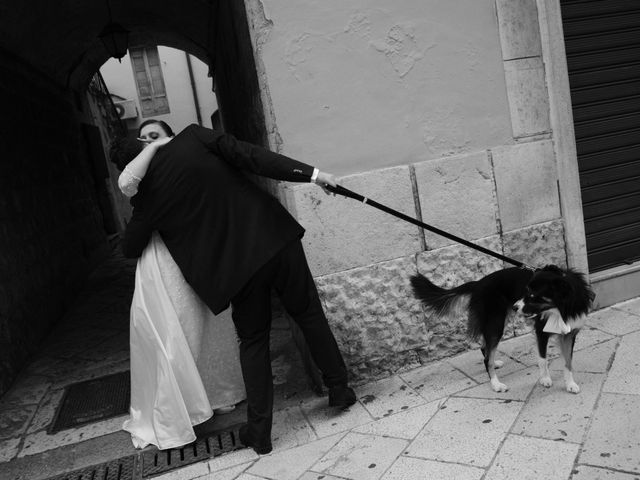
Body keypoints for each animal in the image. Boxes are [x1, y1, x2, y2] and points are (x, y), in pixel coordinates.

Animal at [410, 266, 596, 394]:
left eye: (534, 296)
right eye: (526, 291)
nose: (515, 306)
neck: (561, 308)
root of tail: (478, 284)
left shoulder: (570, 334)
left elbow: (568, 361)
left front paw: (570, 384)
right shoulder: (541, 332)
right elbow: (543, 360)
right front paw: (545, 379)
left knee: (485, 347)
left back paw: (495, 364)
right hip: (496, 323)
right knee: (487, 357)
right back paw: (496, 384)